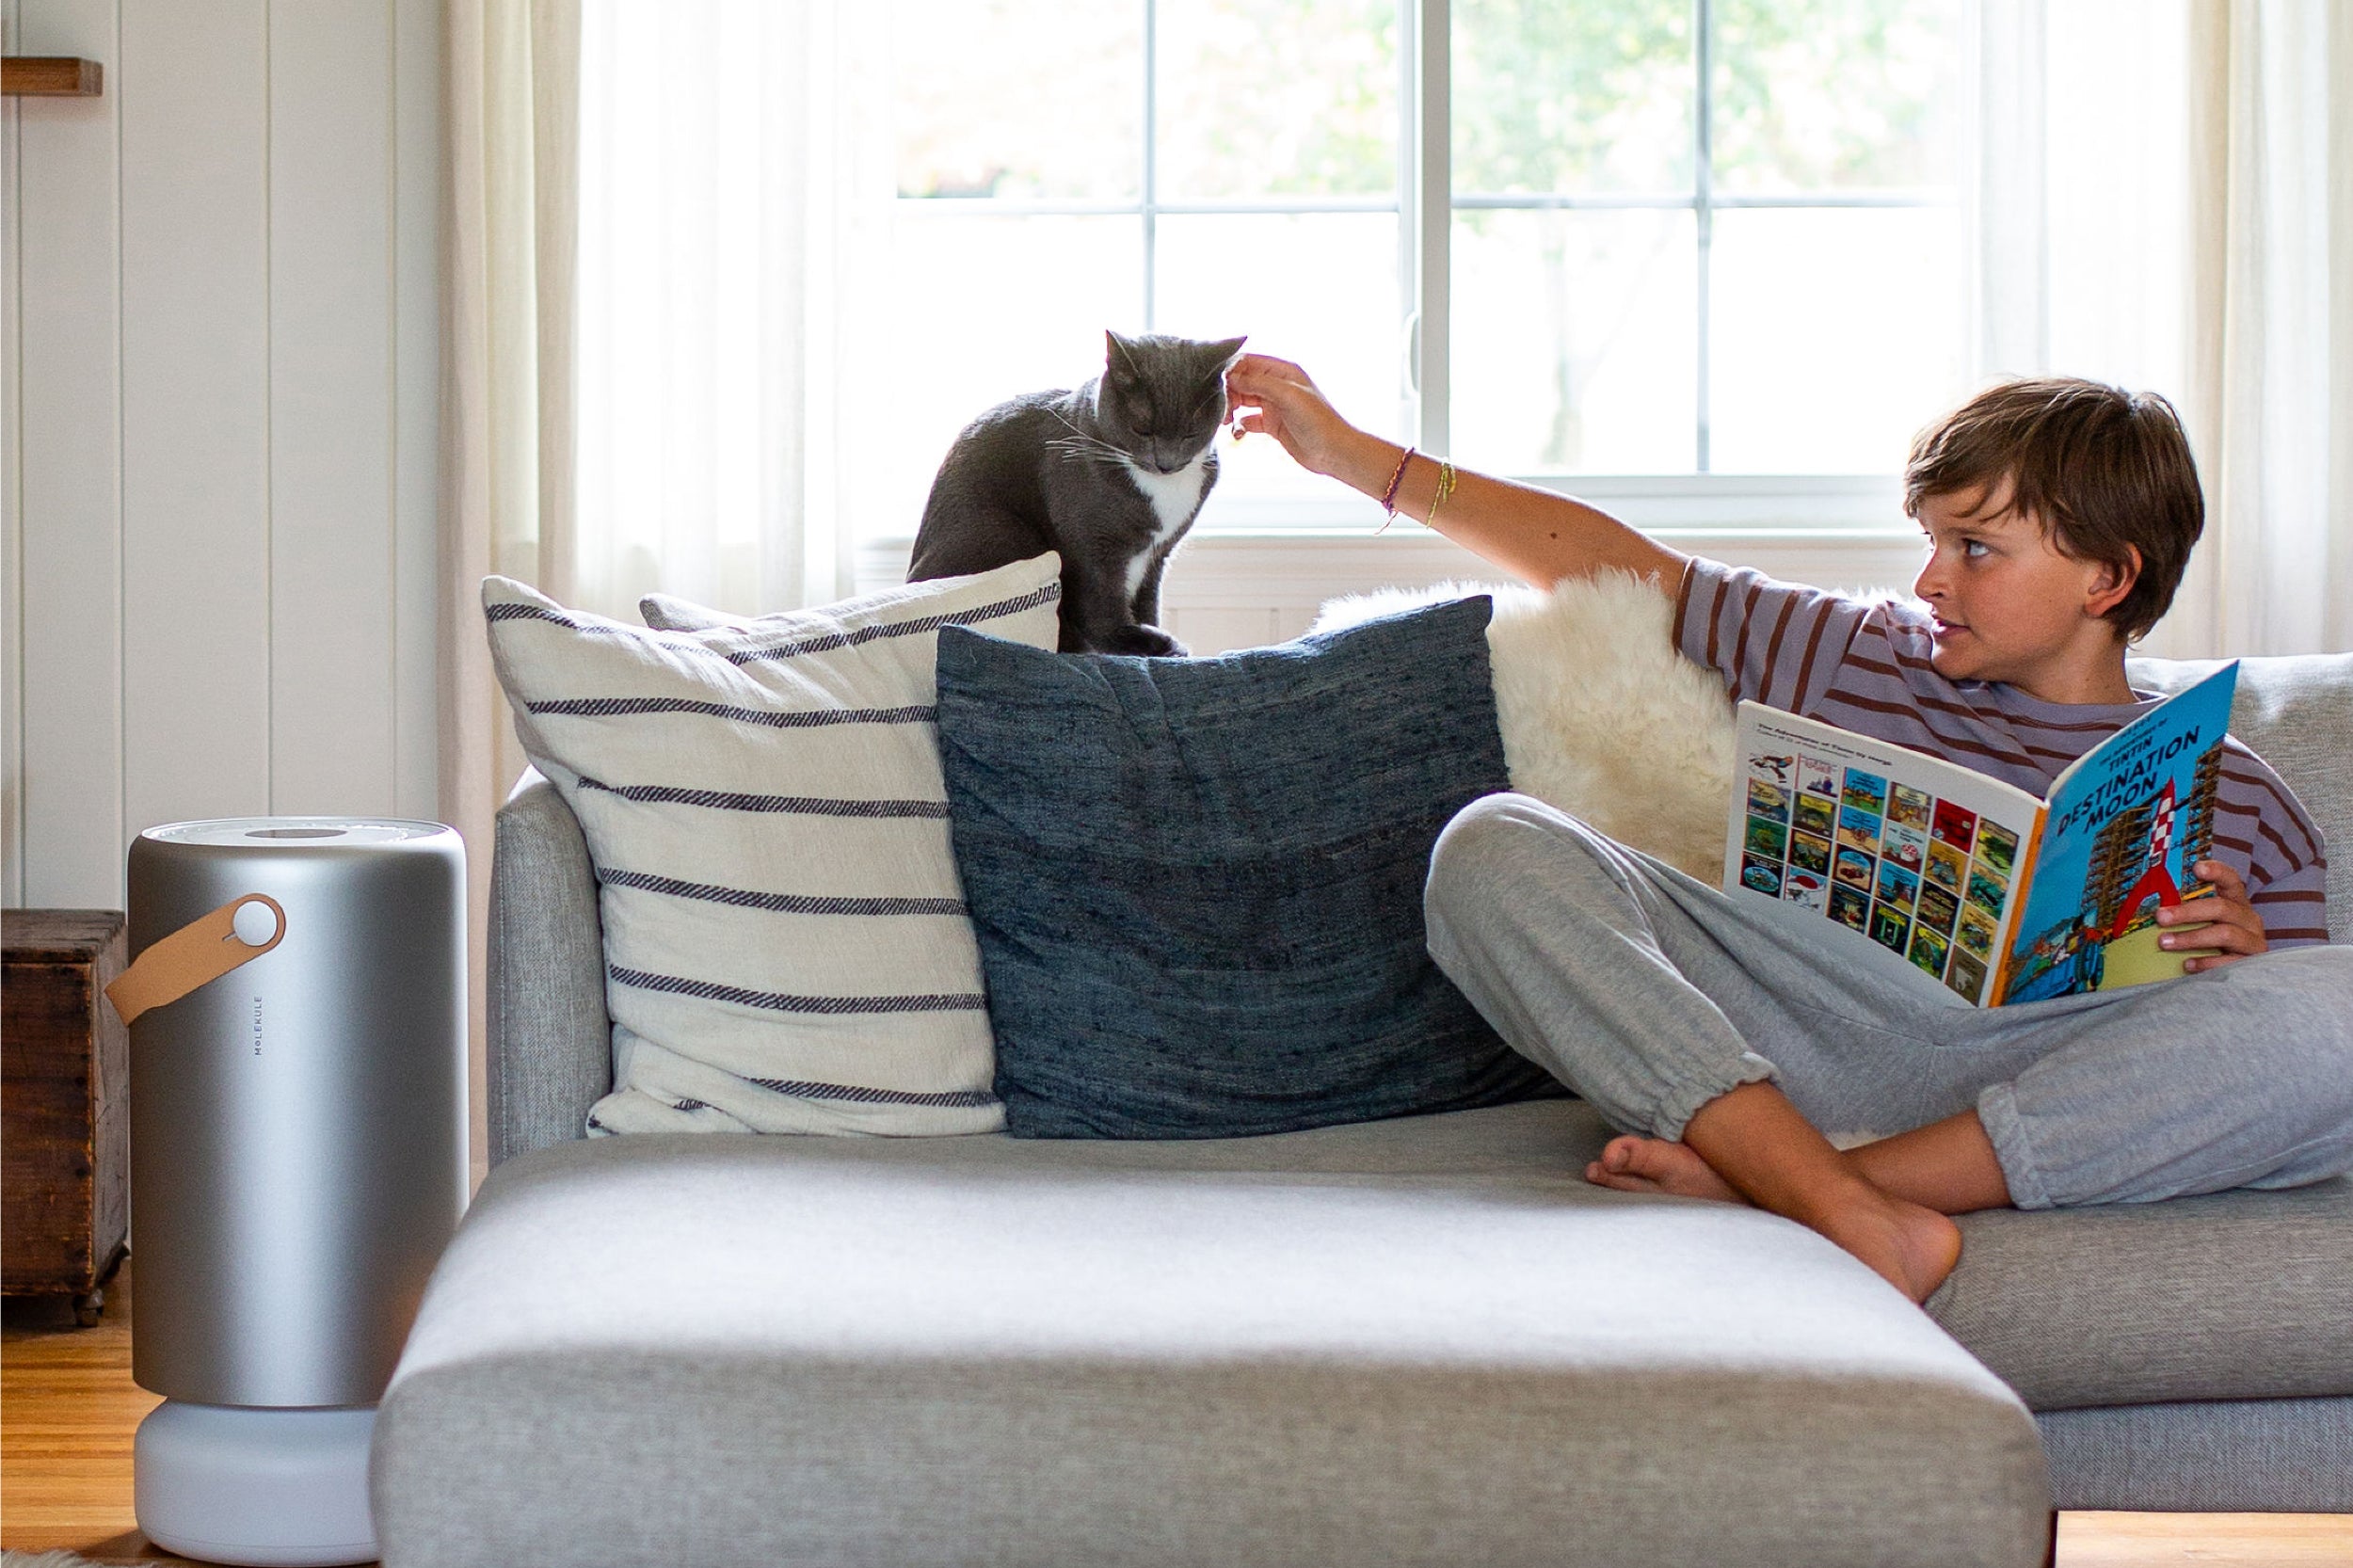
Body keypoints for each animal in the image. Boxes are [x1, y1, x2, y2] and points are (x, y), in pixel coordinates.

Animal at [904, 329, 1252, 654]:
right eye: (1142, 430)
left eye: (1190, 434)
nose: (1165, 464)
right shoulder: (1091, 545)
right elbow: (1101, 606)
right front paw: (1144, 642)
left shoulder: (1158, 554)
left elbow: (1147, 601)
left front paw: (1155, 635)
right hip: (1004, 532)